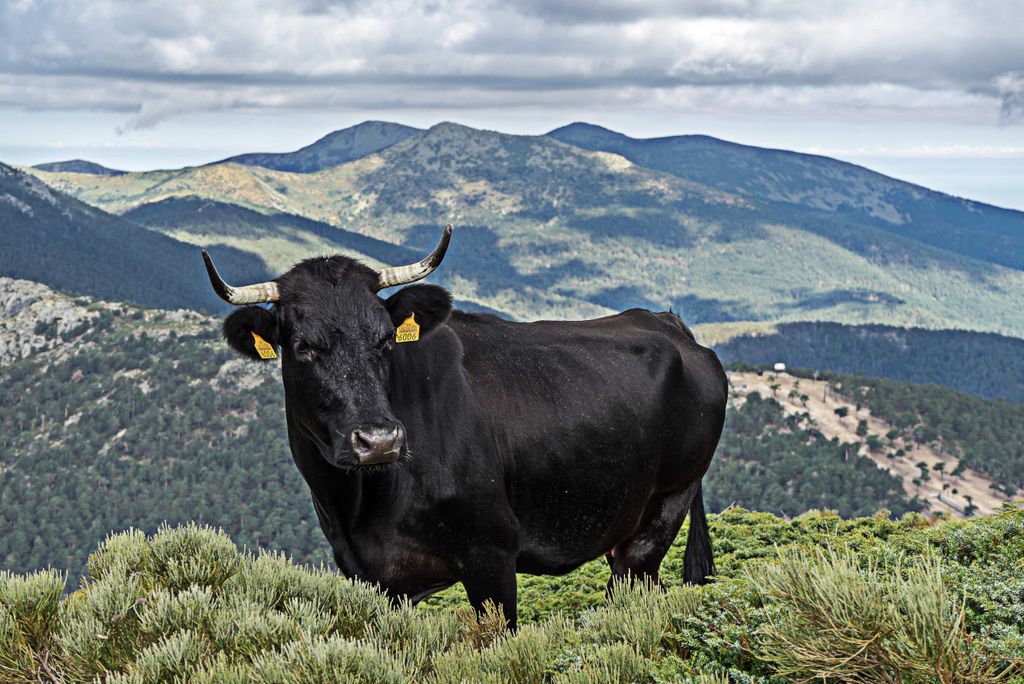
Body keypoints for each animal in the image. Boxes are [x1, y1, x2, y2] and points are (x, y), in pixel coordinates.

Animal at [202, 225, 727, 629]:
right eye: (303, 347)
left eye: (386, 340)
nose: (379, 441)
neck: (361, 506)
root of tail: (669, 323)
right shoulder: (368, 575)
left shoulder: (491, 555)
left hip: (665, 507)